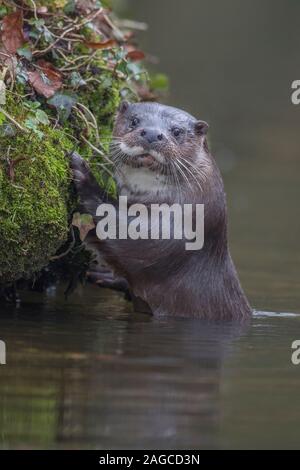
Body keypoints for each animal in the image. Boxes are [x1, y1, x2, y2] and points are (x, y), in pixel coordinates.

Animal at [71, 102, 252, 324]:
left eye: (177, 131)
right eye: (134, 121)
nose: (151, 133)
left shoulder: (178, 233)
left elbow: (126, 235)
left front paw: (84, 175)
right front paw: (104, 275)